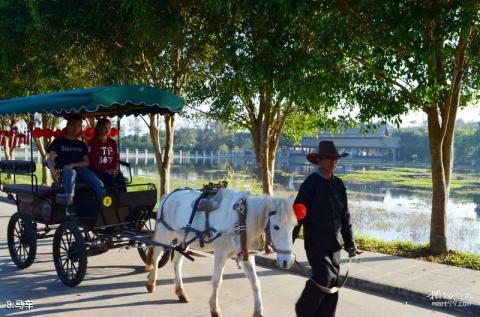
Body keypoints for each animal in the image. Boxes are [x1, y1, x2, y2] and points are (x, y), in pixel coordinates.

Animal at [144, 188, 298, 316]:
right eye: (276, 227)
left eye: (294, 226)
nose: (287, 261)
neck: (242, 219)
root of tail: (168, 195)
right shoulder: (220, 255)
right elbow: (217, 281)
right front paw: (214, 309)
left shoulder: (246, 255)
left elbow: (255, 283)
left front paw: (258, 311)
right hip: (165, 233)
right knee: (156, 256)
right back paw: (151, 282)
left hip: (183, 239)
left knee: (177, 263)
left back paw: (180, 291)